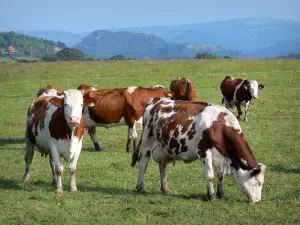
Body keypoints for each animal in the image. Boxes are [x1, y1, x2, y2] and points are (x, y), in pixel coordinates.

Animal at [132, 97, 266, 203]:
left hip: (164, 148)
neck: (219, 127)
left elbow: (220, 175)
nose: (258, 201)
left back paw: (165, 189)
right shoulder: (203, 152)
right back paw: (140, 187)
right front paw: (211, 196)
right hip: (147, 143)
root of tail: (157, 101)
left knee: (163, 166)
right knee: (143, 164)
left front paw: (220, 193)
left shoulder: (220, 156)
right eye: (258, 183)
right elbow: (210, 176)